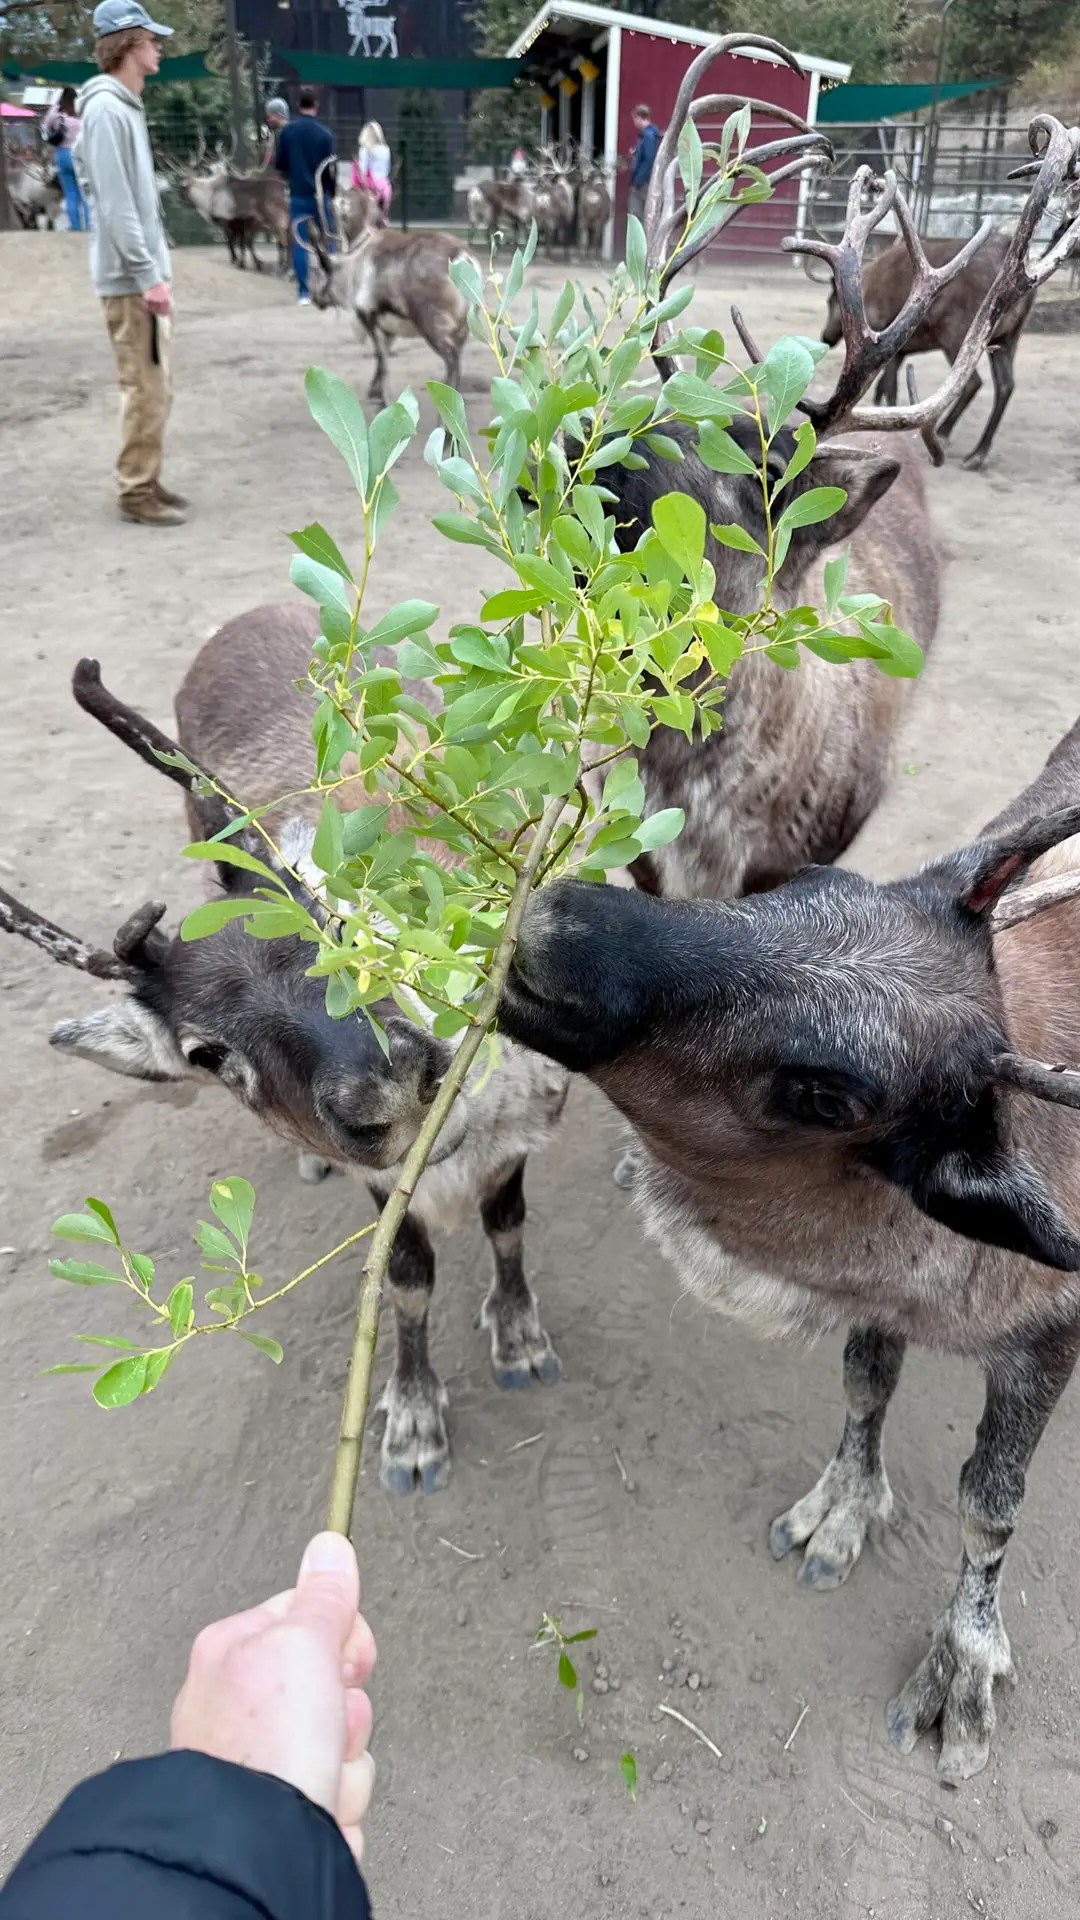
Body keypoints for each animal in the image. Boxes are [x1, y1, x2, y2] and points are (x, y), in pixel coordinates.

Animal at [0, 607, 570, 1498]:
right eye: (203, 1052)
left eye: (331, 920)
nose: (392, 1087)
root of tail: (247, 616)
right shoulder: (384, 1184)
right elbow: (406, 1280)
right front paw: (412, 1424)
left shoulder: (524, 1130)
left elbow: (506, 1226)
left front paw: (519, 1339)